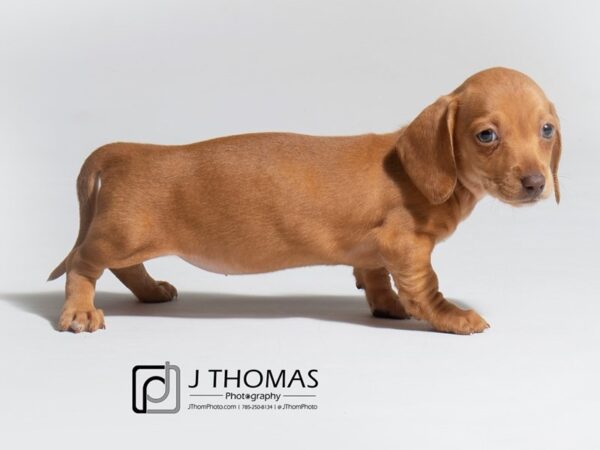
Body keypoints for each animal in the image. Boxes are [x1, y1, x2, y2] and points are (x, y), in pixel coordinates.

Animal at [49, 67, 560, 334]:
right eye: (486, 135)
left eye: (547, 130)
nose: (536, 183)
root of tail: (126, 150)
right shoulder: (407, 245)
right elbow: (425, 288)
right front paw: (452, 316)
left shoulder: (373, 250)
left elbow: (375, 276)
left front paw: (386, 304)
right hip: (120, 235)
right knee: (83, 264)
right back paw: (79, 311)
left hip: (127, 238)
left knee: (124, 268)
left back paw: (152, 292)